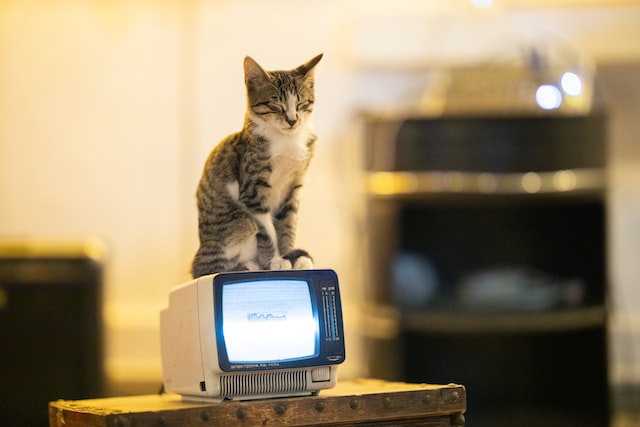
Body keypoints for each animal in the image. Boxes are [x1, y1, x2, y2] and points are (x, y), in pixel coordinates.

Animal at [189, 53, 320, 280]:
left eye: (302, 103)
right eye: (275, 105)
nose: (292, 120)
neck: (286, 142)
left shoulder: (294, 187)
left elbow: (287, 225)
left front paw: (289, 256)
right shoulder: (252, 191)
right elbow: (267, 231)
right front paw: (275, 261)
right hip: (239, 221)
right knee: (212, 266)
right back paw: (248, 267)